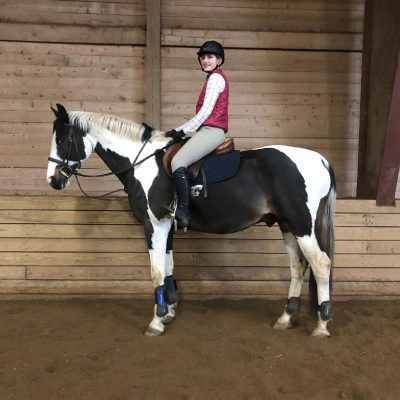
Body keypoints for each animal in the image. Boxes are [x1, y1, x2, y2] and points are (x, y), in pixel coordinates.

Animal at [45, 103, 336, 338]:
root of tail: (320, 159)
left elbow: (156, 271)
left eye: (63, 138)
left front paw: (156, 321)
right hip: (287, 226)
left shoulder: (155, 225)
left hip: (302, 226)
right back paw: (286, 318)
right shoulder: (167, 227)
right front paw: (169, 312)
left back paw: (321, 325)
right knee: (298, 266)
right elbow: (169, 267)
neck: (141, 163)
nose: (53, 180)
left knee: (321, 265)